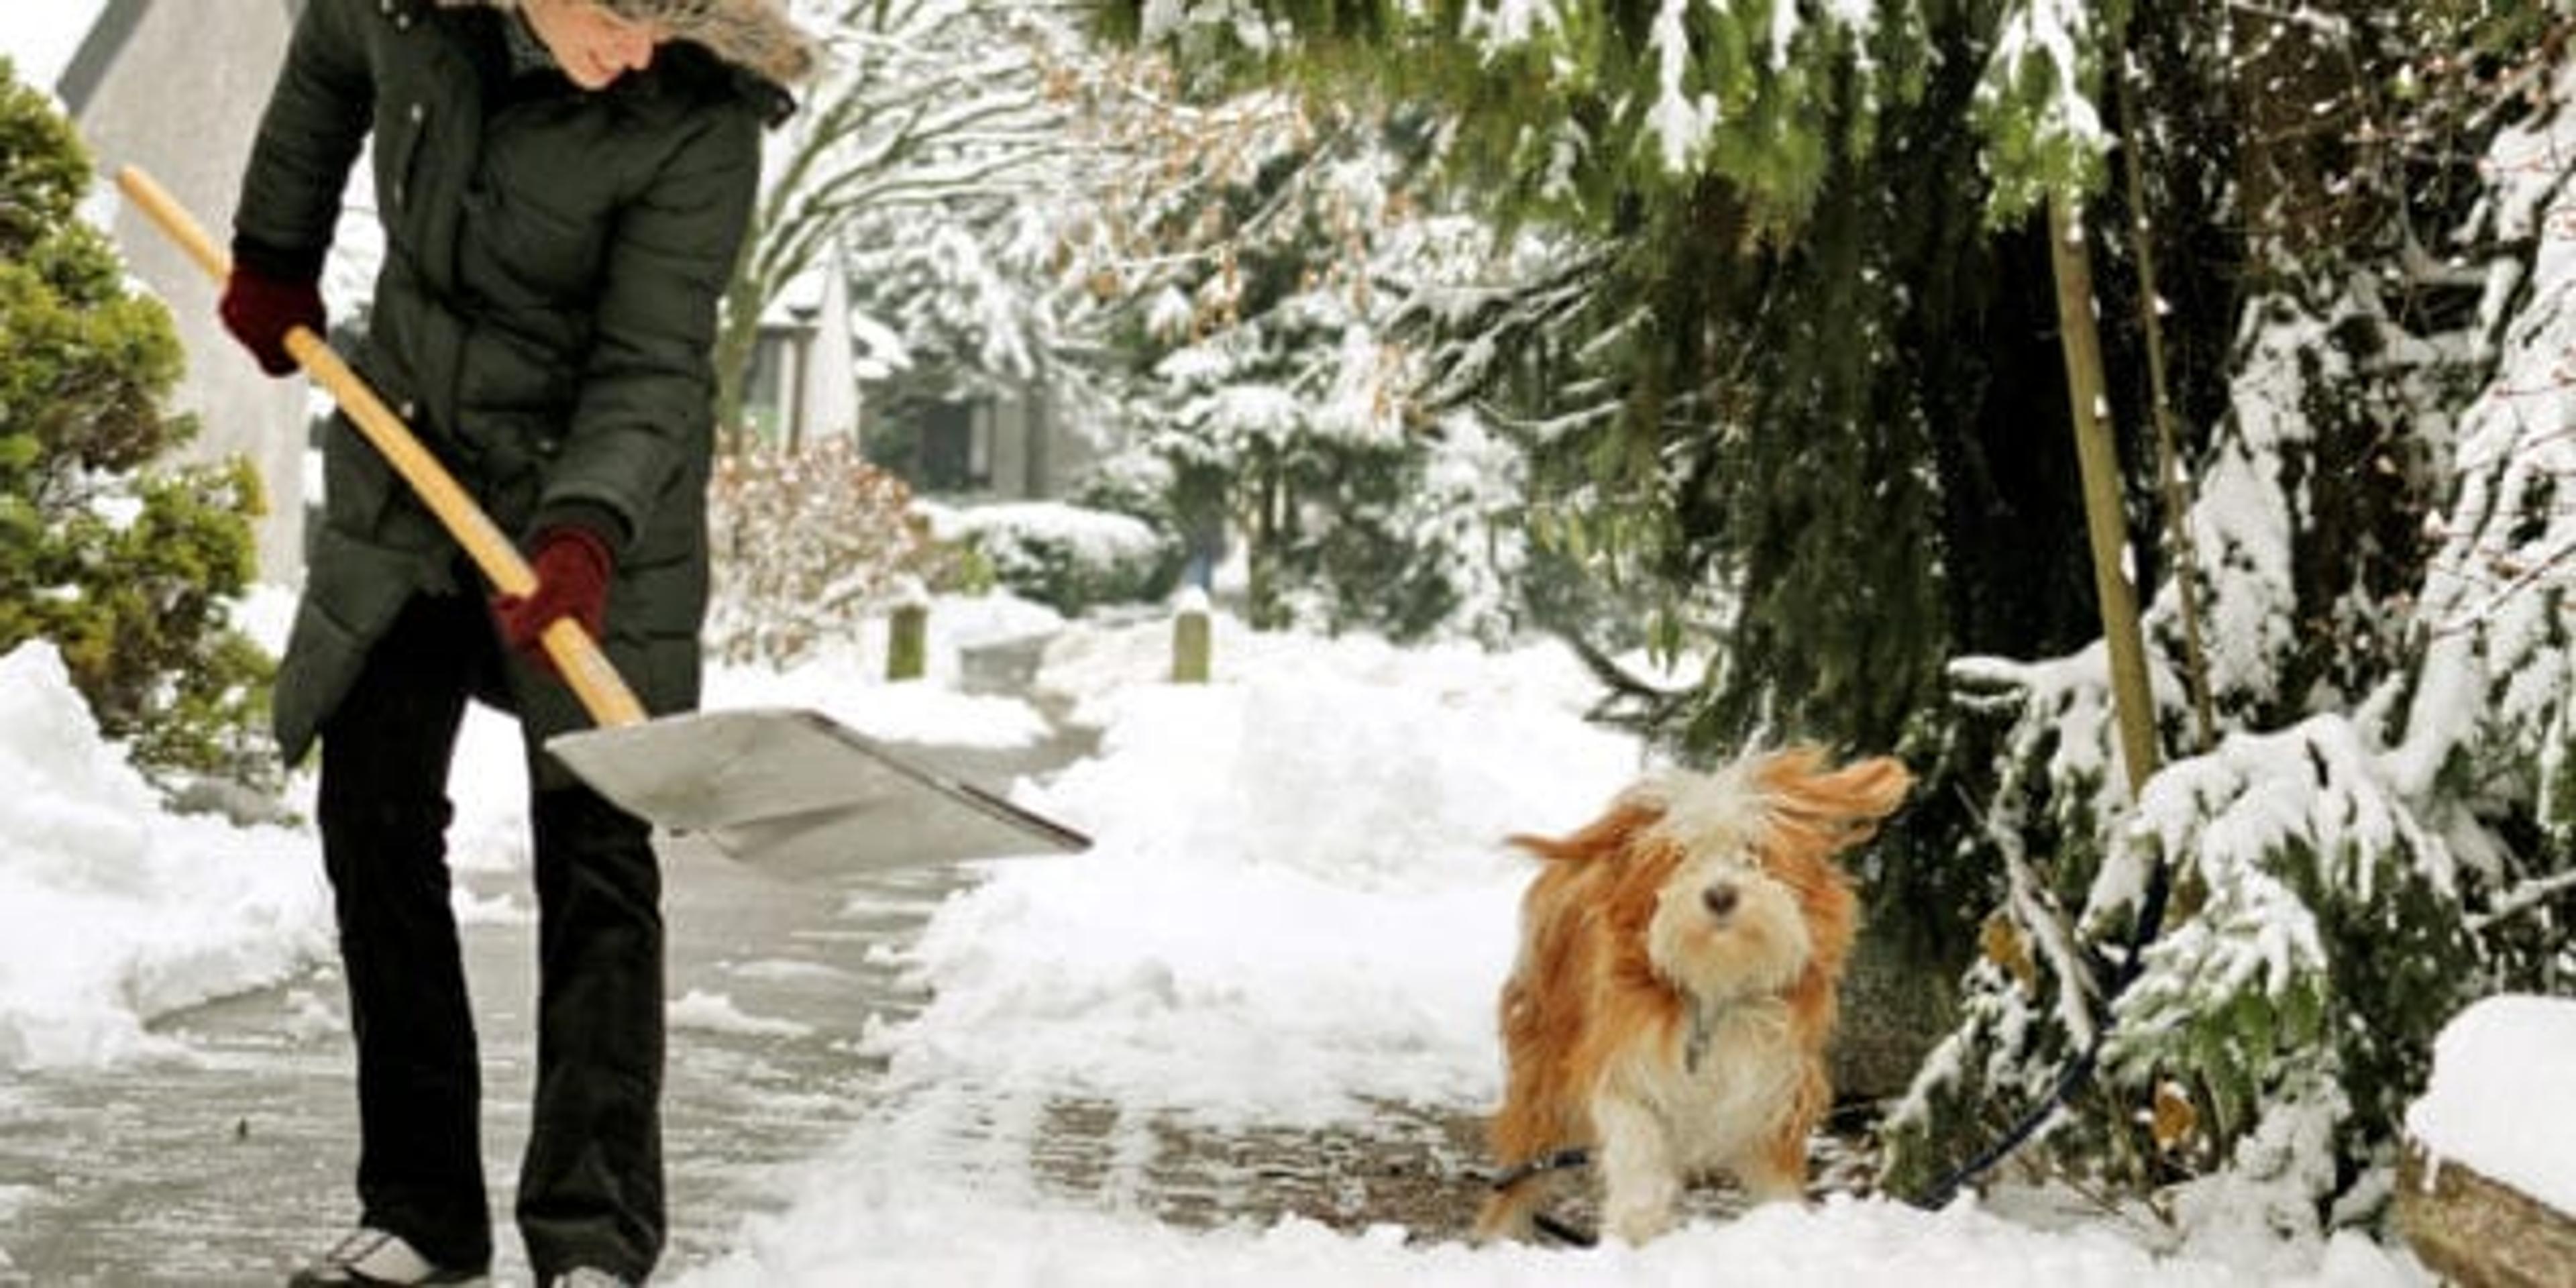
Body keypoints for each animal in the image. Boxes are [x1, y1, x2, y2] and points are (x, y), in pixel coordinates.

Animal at [1473, 747, 1916, 1246]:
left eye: (1754, 851)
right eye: (1681, 855)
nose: (1720, 895)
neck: (1715, 989)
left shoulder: (1773, 1083)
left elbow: (1775, 1176)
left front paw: (1782, 1227)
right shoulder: (1624, 1064)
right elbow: (1639, 1147)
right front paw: (1637, 1230)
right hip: (1543, 1068)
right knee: (1521, 1167)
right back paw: (1500, 1235)